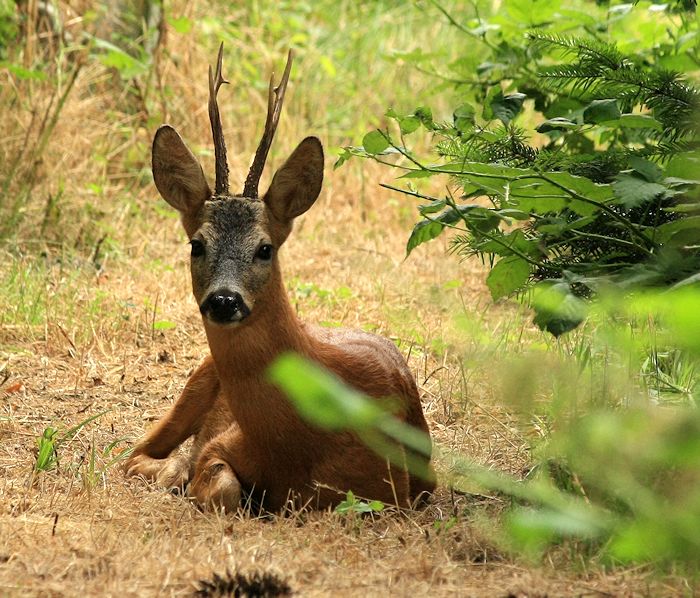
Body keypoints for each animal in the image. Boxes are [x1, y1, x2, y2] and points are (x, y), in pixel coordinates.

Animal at [123, 45, 434, 510]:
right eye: (197, 244)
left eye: (264, 248)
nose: (224, 300)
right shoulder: (222, 443)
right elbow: (223, 485)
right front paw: (190, 478)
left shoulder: (399, 490)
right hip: (194, 383)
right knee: (133, 454)